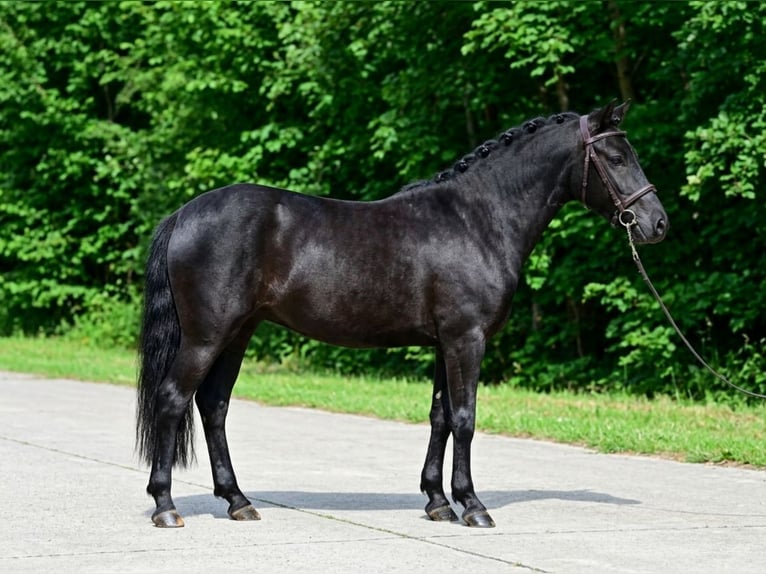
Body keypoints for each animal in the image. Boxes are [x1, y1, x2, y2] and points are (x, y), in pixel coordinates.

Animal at [136, 101, 668, 529]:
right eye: (617, 158)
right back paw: (166, 506)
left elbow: (440, 417)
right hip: (207, 336)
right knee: (173, 399)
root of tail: (183, 214)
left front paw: (438, 502)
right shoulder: (466, 338)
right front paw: (473, 506)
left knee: (214, 406)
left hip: (238, 333)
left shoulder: (444, 342)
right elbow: (465, 418)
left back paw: (238, 501)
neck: (477, 219)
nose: (657, 224)